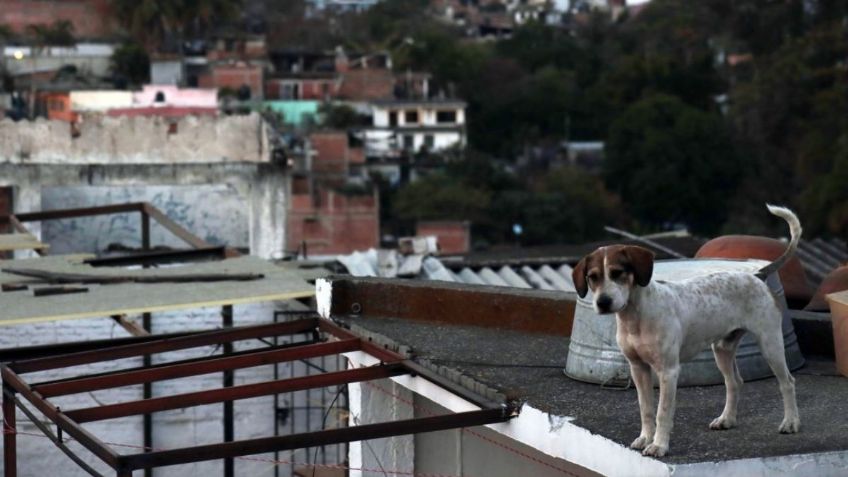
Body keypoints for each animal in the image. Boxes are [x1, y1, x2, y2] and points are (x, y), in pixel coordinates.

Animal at [568, 205, 800, 458]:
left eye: (617, 272)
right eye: (592, 277)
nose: (603, 302)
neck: (636, 318)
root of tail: (757, 275)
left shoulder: (668, 371)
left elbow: (662, 412)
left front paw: (658, 445)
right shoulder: (638, 368)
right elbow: (645, 409)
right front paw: (645, 438)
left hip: (770, 344)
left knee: (787, 382)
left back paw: (791, 423)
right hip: (722, 350)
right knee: (734, 382)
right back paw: (727, 419)